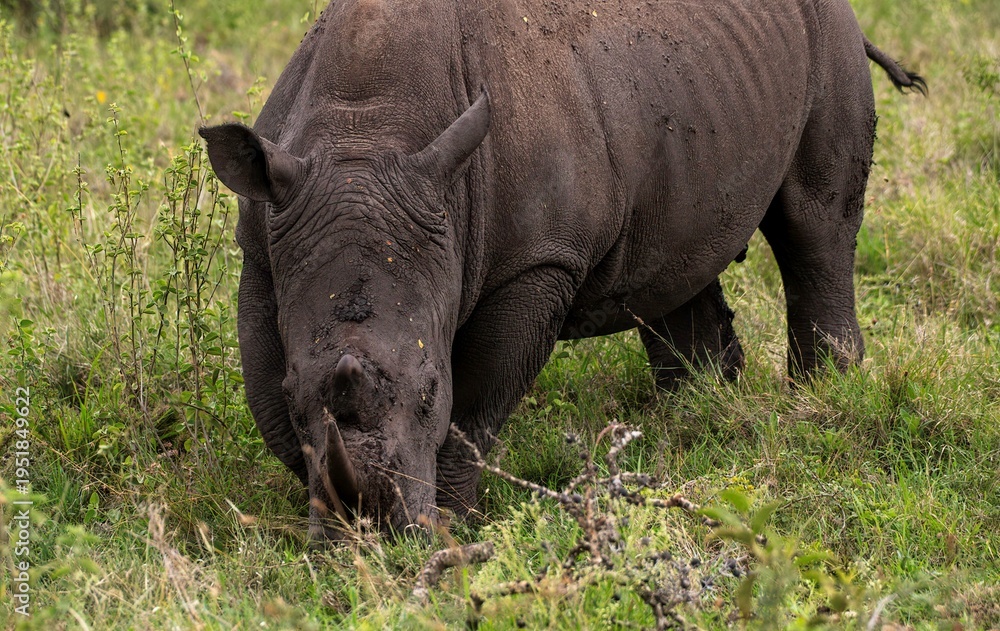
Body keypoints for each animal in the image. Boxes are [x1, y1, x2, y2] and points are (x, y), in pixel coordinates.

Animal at [200, 0, 924, 541]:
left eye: (431, 389)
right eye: (297, 392)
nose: (375, 524)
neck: (365, 135)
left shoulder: (538, 261)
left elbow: (477, 404)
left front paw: (451, 528)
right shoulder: (262, 247)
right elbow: (268, 401)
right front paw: (328, 524)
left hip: (828, 35)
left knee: (814, 227)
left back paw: (821, 400)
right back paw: (693, 422)